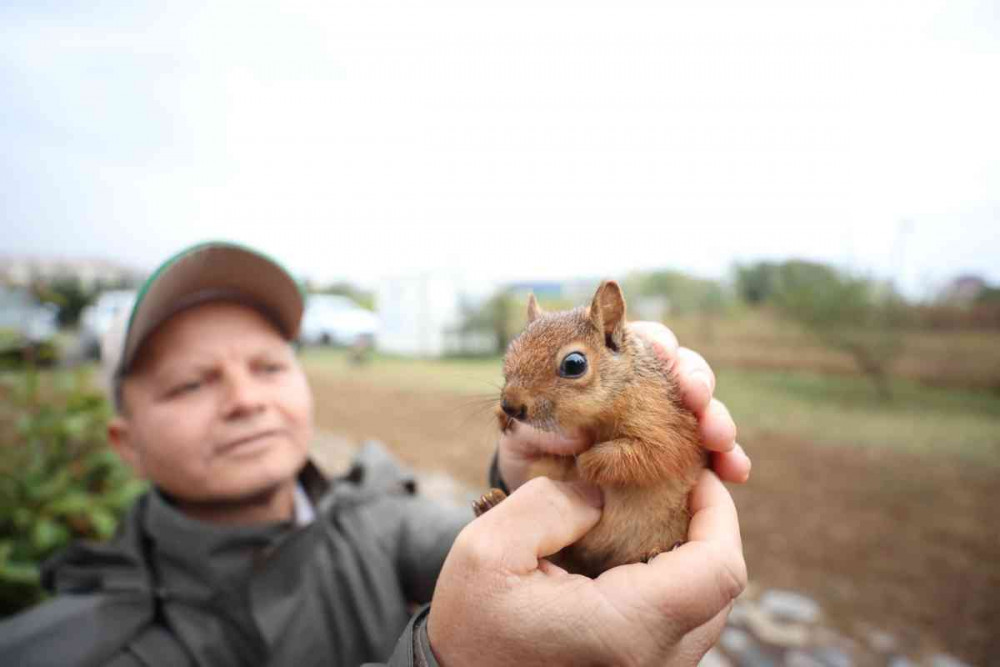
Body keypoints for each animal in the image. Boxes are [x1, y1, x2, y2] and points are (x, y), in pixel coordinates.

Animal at [474, 280, 704, 576]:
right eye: (510, 353)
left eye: (574, 364)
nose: (510, 405)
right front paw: (501, 415)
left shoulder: (666, 421)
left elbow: (655, 453)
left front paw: (587, 461)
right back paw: (492, 503)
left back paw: (655, 551)